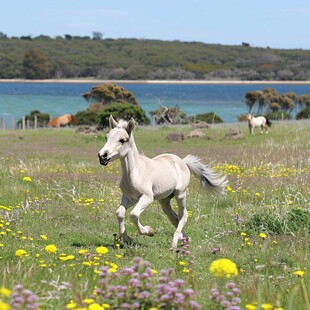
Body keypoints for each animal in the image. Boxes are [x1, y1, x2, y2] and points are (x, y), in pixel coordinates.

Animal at [97, 115, 228, 251]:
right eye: (106, 137)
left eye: (122, 140)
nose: (102, 156)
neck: (135, 173)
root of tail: (182, 161)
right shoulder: (129, 197)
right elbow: (120, 213)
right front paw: (127, 239)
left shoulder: (147, 197)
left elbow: (133, 215)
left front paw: (149, 231)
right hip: (164, 199)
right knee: (174, 217)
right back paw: (185, 239)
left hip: (180, 194)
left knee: (183, 215)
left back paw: (175, 244)